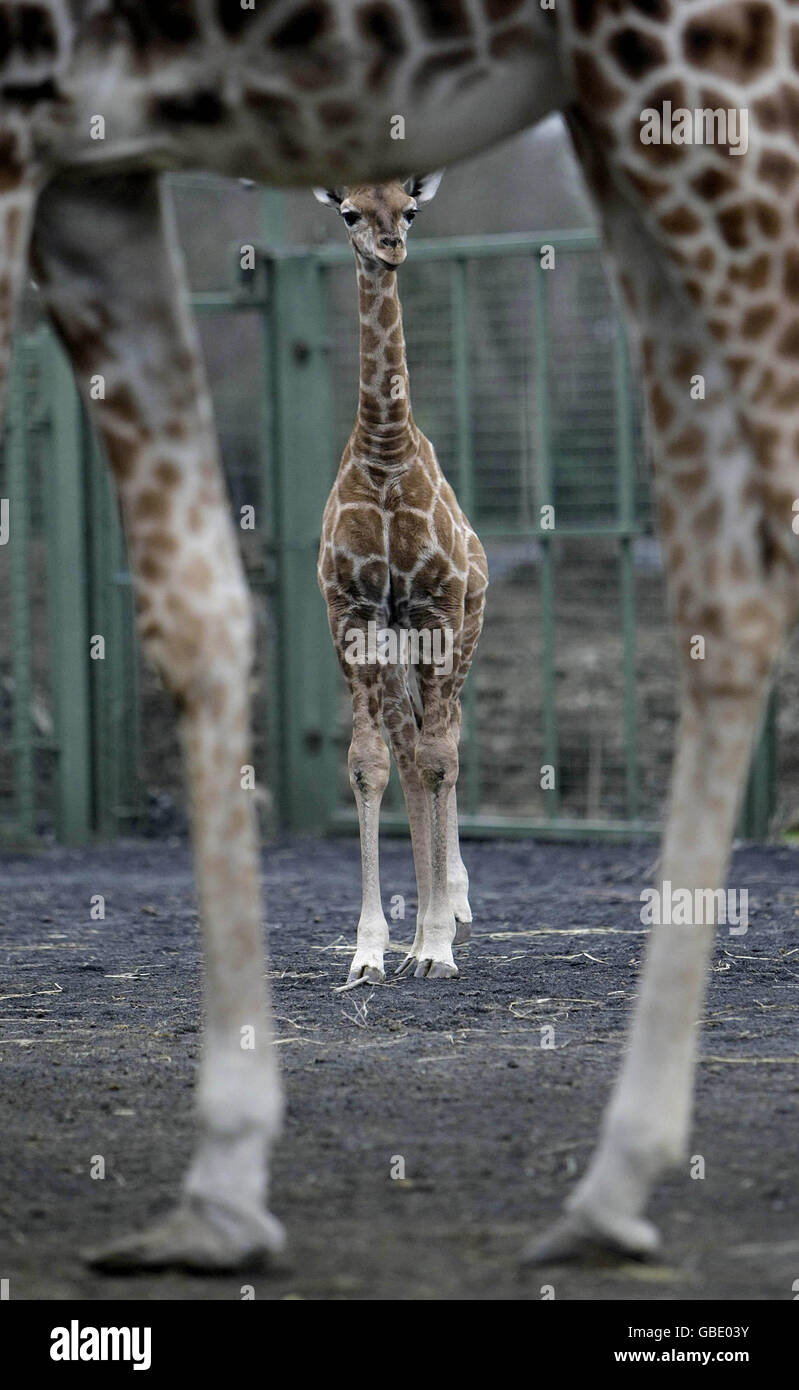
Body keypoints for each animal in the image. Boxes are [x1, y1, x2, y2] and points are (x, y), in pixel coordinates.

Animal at [0, 0, 797, 1270]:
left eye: (410, 208)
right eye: (346, 211)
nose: (386, 246)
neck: (380, 457)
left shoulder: (422, 611)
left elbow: (427, 763)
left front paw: (430, 939)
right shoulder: (350, 615)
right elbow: (373, 766)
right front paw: (373, 948)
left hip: (461, 626)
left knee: (453, 748)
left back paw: (459, 920)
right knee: (425, 748)